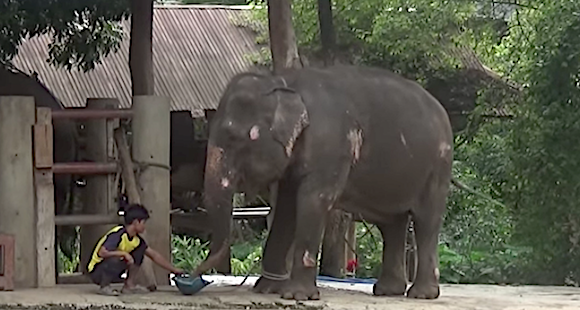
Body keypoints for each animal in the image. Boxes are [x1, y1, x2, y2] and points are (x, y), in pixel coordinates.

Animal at [195, 64, 454, 300]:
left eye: (233, 138)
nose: (195, 275)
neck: (283, 82)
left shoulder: (330, 148)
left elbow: (313, 201)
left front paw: (297, 295)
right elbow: (286, 209)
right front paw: (267, 289)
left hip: (438, 168)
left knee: (425, 222)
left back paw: (421, 294)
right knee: (392, 224)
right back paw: (388, 291)